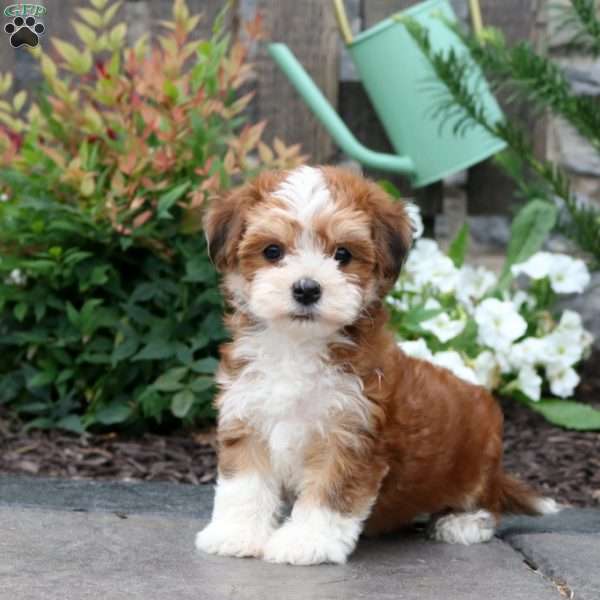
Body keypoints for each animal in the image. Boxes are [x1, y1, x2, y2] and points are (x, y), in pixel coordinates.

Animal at [196, 166, 556, 564]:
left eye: (343, 254)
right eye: (272, 251)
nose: (306, 289)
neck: (299, 344)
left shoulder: (351, 434)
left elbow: (329, 493)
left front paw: (306, 541)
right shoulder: (248, 415)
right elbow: (244, 485)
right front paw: (236, 533)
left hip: (476, 460)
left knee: (486, 502)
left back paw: (462, 522)